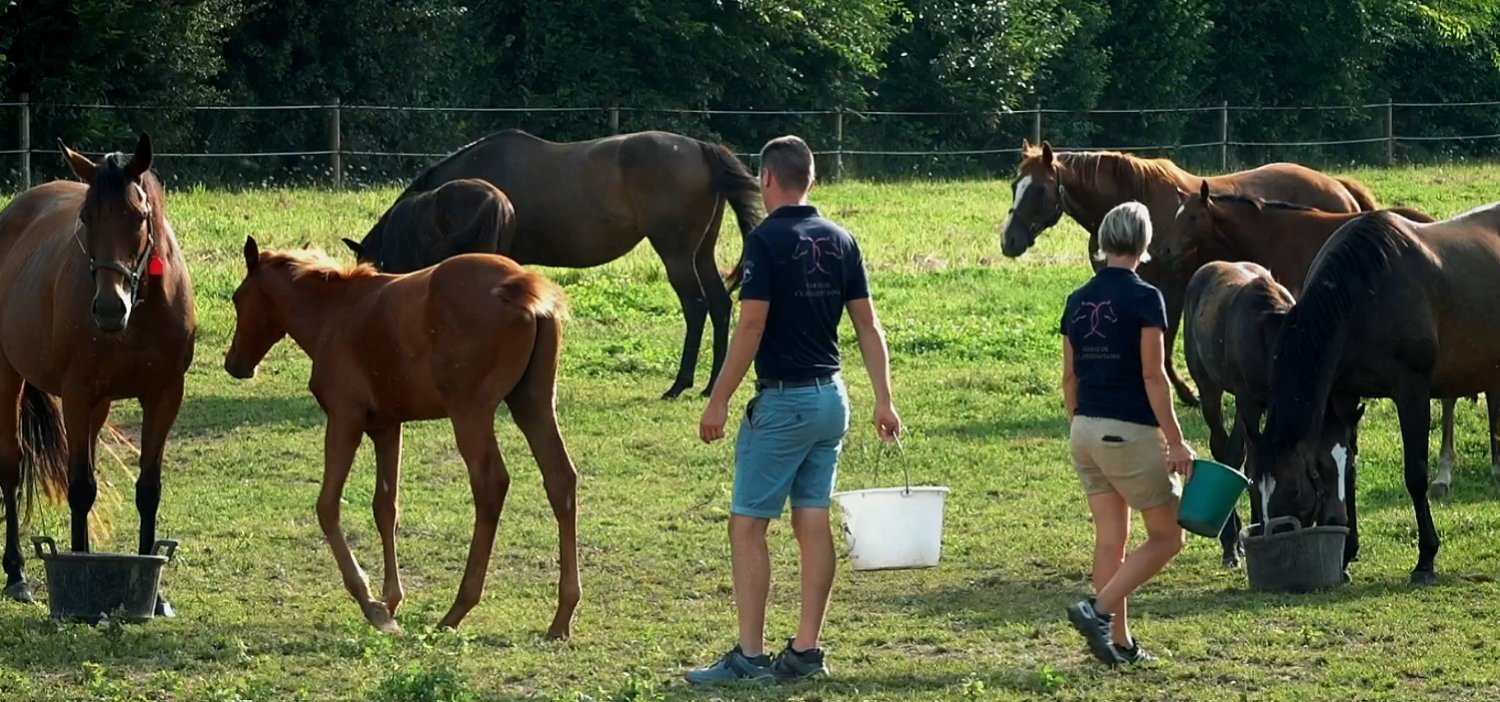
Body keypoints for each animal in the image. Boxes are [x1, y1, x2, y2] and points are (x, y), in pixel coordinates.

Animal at [0, 134, 196, 614]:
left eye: (139, 216)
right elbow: (80, 487)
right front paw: (77, 578)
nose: (110, 307)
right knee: (13, 468)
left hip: (99, 406)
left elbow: (148, 490)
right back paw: (17, 574)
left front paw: (156, 594)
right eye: (87, 217)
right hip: (11, 374)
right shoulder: (76, 393)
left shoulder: (164, 395)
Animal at [224, 239, 580, 636]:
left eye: (238, 298)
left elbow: (327, 506)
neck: (335, 312)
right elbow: (386, 507)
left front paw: (372, 604)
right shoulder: (387, 426)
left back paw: (458, 609)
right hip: (532, 402)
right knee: (560, 479)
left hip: (470, 411)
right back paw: (562, 615)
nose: (234, 363)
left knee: (491, 485)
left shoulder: (345, 417)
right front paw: (391, 600)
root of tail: (519, 282)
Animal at [998, 141, 1377, 406]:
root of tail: (1339, 186)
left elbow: (1164, 348)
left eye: (1039, 189)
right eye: (1014, 185)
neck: (1136, 203)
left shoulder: (1170, 290)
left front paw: (1185, 393)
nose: (1009, 240)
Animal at [1251, 207, 1500, 584]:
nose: (1275, 536)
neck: (1362, 294)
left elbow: (1416, 475)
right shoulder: (1344, 395)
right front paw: (1345, 555)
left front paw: (1426, 558)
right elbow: (1350, 468)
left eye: (1293, 488)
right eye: (1256, 484)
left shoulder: (1412, 391)